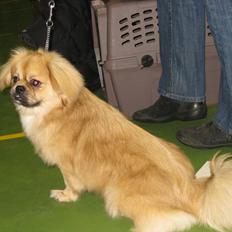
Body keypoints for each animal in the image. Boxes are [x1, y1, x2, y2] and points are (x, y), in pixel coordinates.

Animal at [1, 47, 232, 232]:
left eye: (35, 83)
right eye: (15, 79)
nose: (18, 89)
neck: (58, 109)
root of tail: (191, 190)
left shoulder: (67, 165)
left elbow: (71, 184)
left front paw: (66, 195)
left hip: (117, 192)